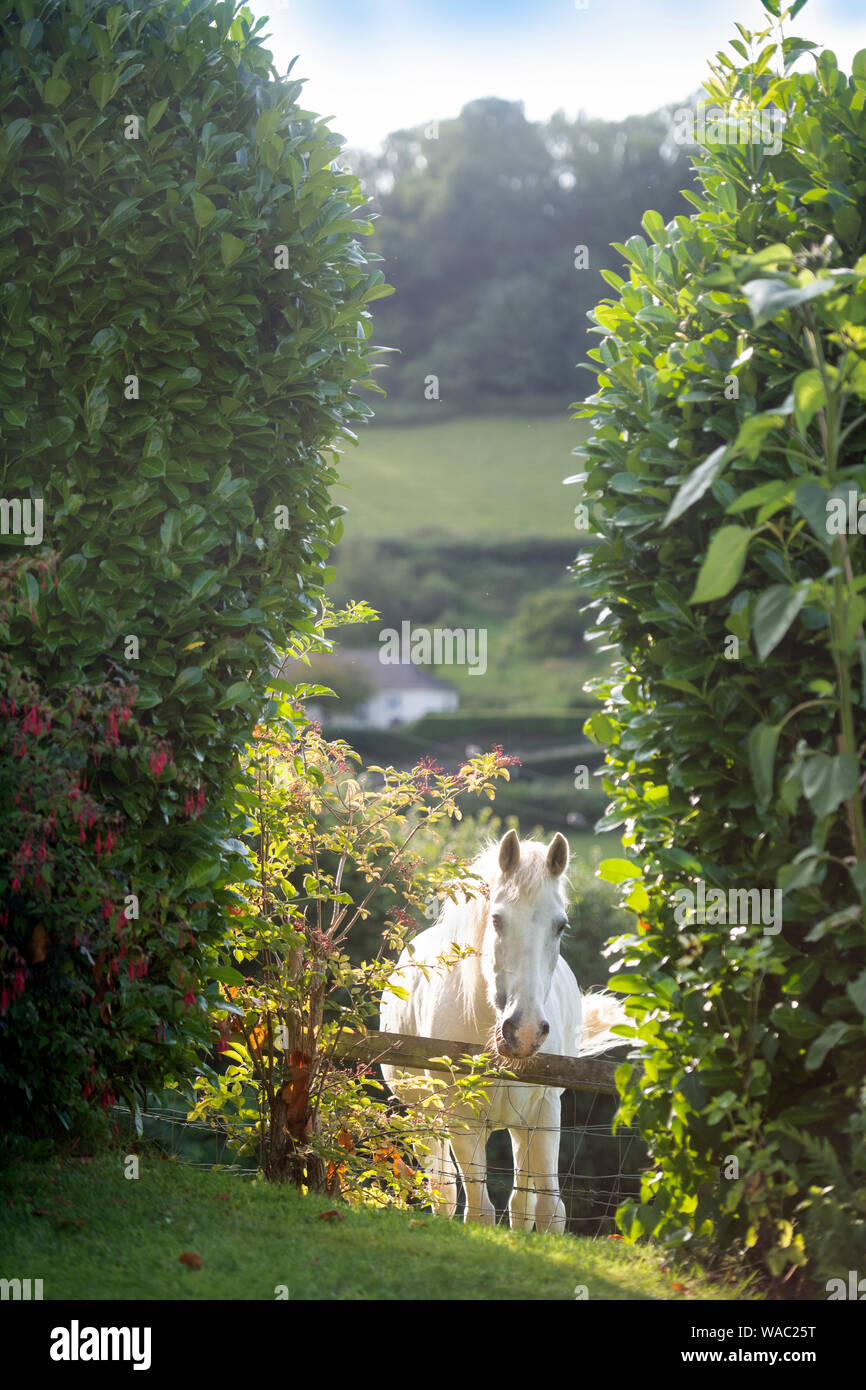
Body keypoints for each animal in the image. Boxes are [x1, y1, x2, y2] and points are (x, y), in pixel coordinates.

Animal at [378, 828, 622, 1234]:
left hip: (519, 1127)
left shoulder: (544, 1113)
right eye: (496, 919)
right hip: (426, 1117)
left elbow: (548, 1210)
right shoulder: (461, 1121)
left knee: (521, 1202)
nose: (523, 1031)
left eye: (561, 925)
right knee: (444, 1191)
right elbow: (478, 1210)